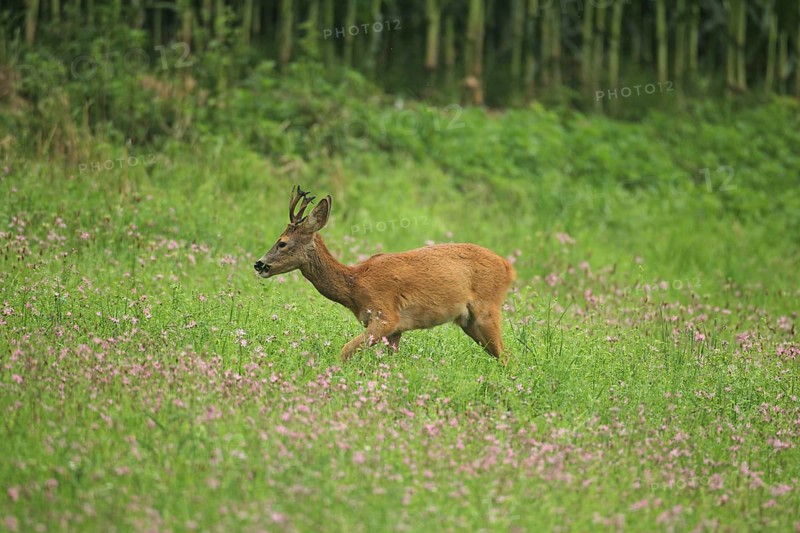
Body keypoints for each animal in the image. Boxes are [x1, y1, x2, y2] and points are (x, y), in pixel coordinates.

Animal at [254, 186, 516, 362]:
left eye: (282, 243)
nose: (259, 264)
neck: (353, 284)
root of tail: (508, 267)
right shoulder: (396, 330)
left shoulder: (385, 316)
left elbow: (344, 351)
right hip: (468, 321)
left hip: (487, 310)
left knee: (506, 356)